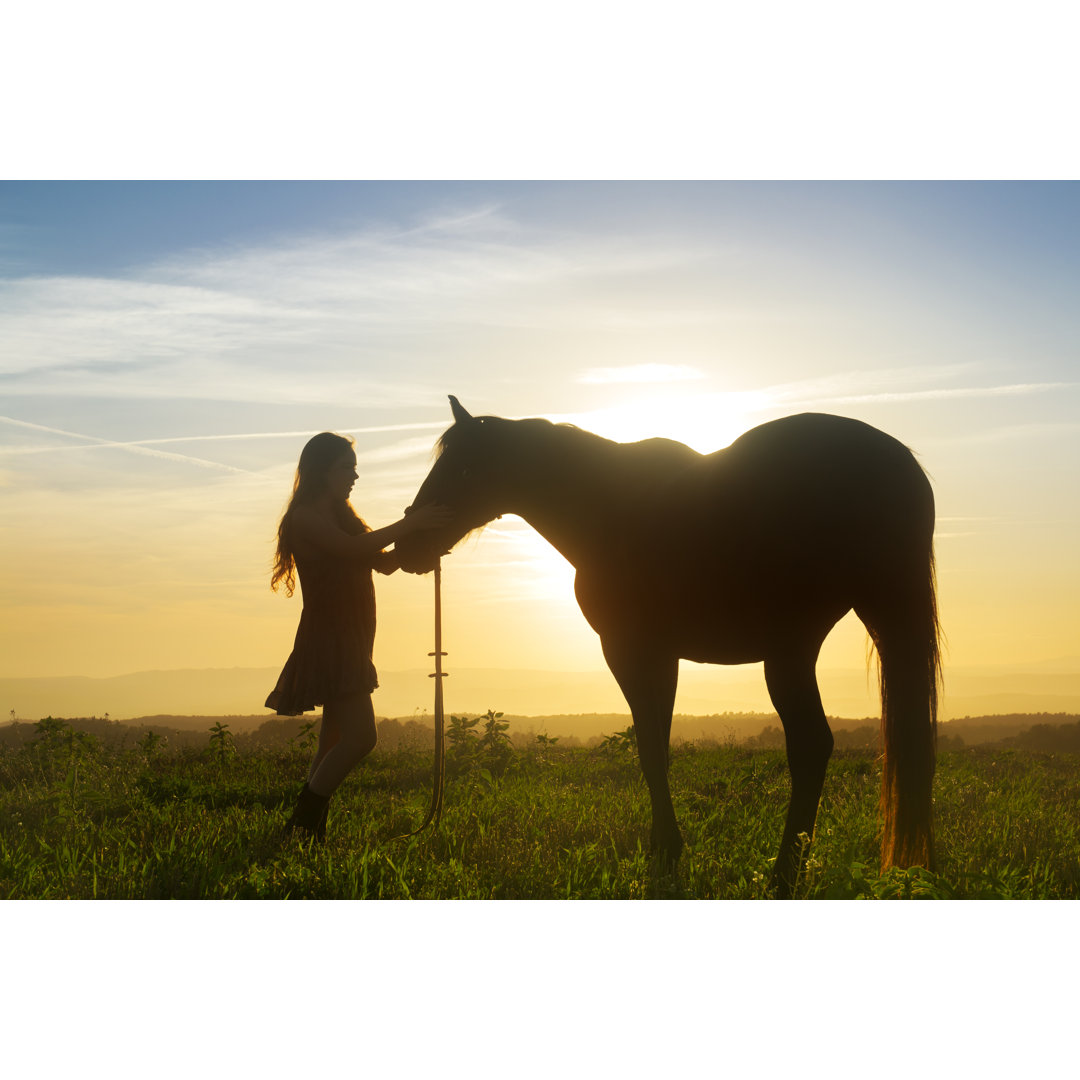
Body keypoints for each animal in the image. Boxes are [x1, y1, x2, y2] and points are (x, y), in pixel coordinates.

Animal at [395, 395, 937, 894]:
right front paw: (665, 849)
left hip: (790, 647)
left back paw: (783, 877)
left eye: (465, 468)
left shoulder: (628, 649)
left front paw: (666, 854)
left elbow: (649, 751)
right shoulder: (665, 656)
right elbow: (662, 743)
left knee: (810, 744)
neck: (606, 508)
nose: (407, 544)